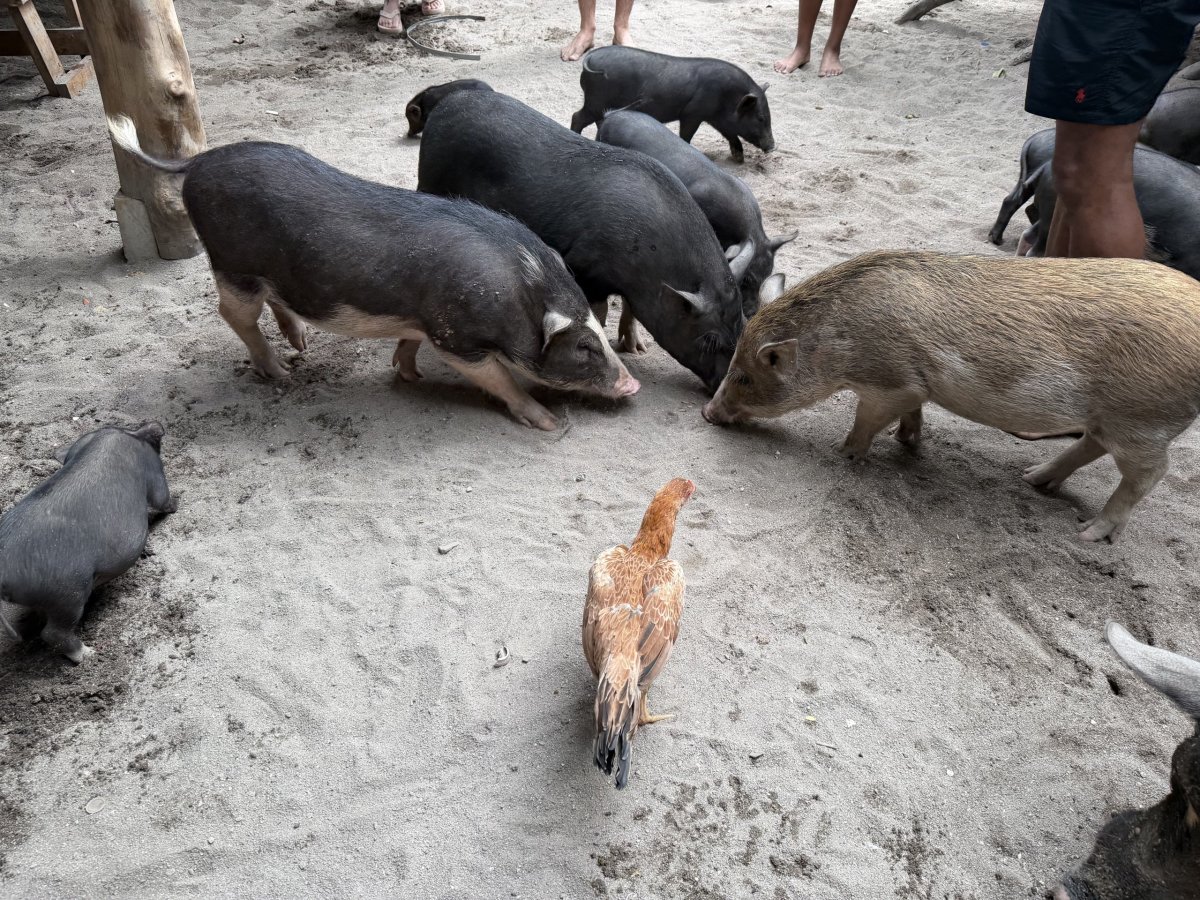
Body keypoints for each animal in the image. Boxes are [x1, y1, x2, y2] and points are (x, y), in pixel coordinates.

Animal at [0, 423, 175, 664]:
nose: (158, 426)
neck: (131, 436)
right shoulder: (154, 472)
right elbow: (162, 499)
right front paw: (178, 501)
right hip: (68, 593)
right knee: (53, 633)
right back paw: (91, 655)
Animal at [107, 116, 637, 432]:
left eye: (599, 330)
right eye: (584, 347)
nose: (631, 385)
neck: (521, 288)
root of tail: (198, 160)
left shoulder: (425, 321)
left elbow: (408, 342)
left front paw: (409, 375)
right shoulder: (457, 336)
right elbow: (500, 379)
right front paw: (549, 423)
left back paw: (301, 345)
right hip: (232, 264)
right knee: (233, 313)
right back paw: (282, 372)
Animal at [418, 90, 759, 393]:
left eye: (742, 322)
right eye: (709, 338)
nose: (722, 385)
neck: (647, 264)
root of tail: (446, 106)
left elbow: (630, 310)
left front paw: (637, 349)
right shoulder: (584, 267)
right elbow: (598, 310)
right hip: (428, 179)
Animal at [569, 46, 775, 163]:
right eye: (761, 118)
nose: (773, 146)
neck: (728, 97)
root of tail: (590, 58)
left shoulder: (716, 118)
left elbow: (730, 133)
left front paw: (739, 159)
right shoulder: (692, 113)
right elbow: (686, 135)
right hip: (595, 101)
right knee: (577, 117)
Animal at [701, 250, 1200, 543]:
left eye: (742, 376)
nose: (706, 413)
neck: (837, 343)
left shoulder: (890, 381)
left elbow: (866, 421)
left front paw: (843, 453)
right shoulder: (914, 386)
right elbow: (912, 414)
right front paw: (906, 441)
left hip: (1140, 421)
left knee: (1150, 473)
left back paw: (1086, 534)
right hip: (1109, 419)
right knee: (1090, 446)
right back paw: (1031, 479)